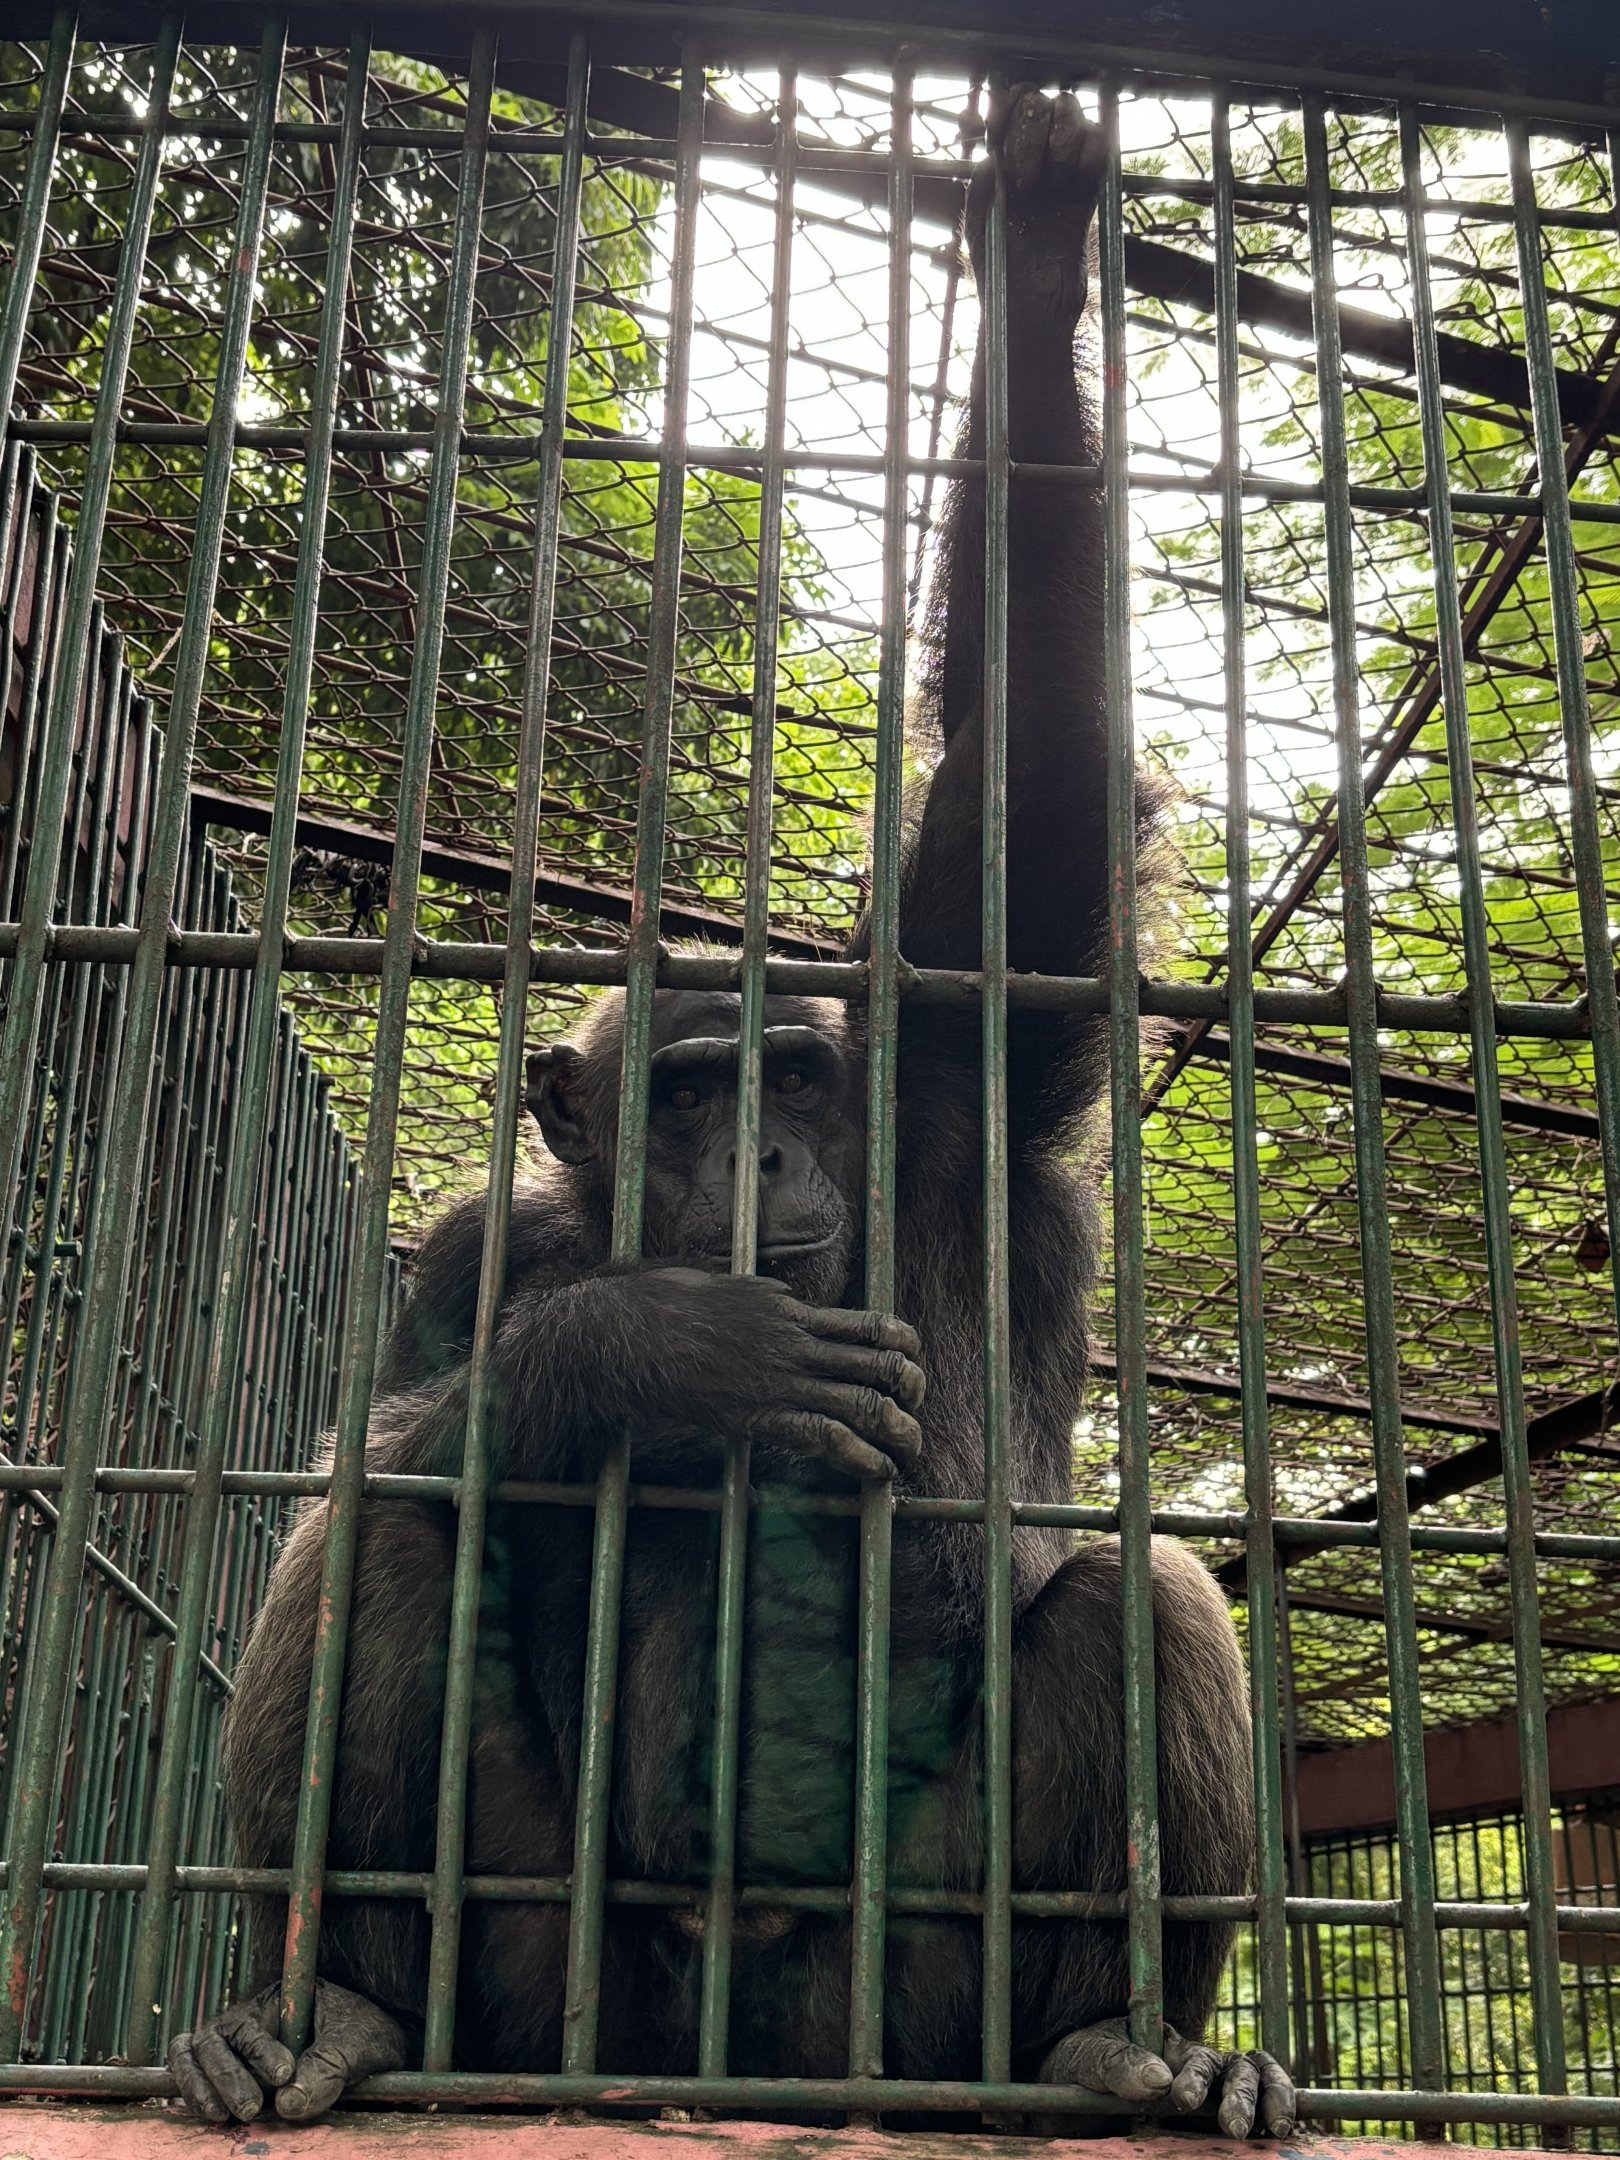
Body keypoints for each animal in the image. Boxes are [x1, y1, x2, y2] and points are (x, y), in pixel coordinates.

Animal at [167, 87, 1293, 2140]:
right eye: (692, 1094)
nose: (762, 1153)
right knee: (381, 1523)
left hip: (908, 2010)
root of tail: (715, 2060)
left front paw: (1030, 269)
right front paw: (648, 1355)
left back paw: (1116, 2049)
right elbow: (399, 1417)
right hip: (541, 1990)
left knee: (1150, 1586)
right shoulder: (472, 1240)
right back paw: (330, 2013)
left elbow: (1029, 800)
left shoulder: (951, 1080)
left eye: (792, 1079)